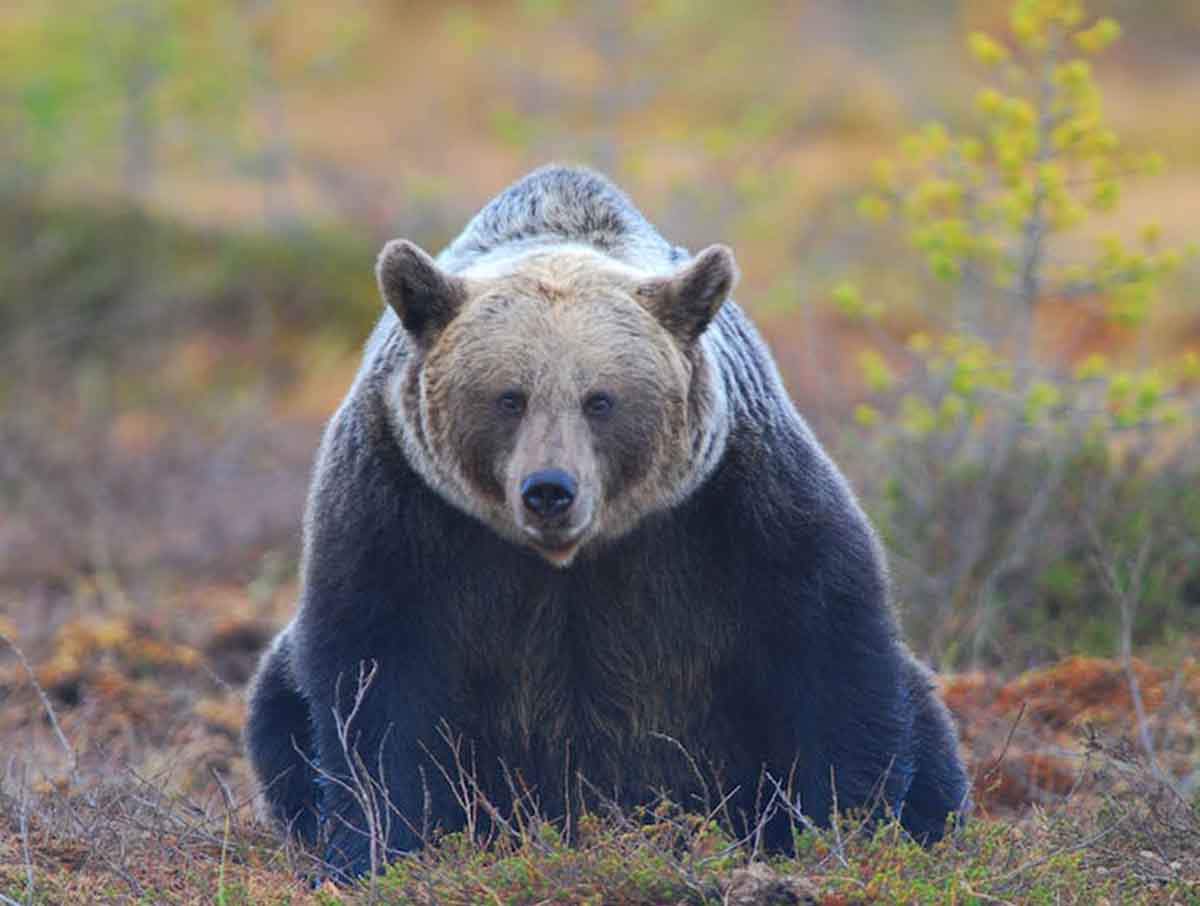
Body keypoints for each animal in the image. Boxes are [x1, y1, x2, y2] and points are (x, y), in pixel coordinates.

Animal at [246, 163, 974, 878]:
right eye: (509, 397)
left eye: (601, 399)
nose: (549, 491)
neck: (574, 560)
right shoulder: (401, 511)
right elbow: (371, 687)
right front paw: (373, 851)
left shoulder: (737, 506)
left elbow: (831, 653)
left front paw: (846, 834)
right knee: (277, 707)